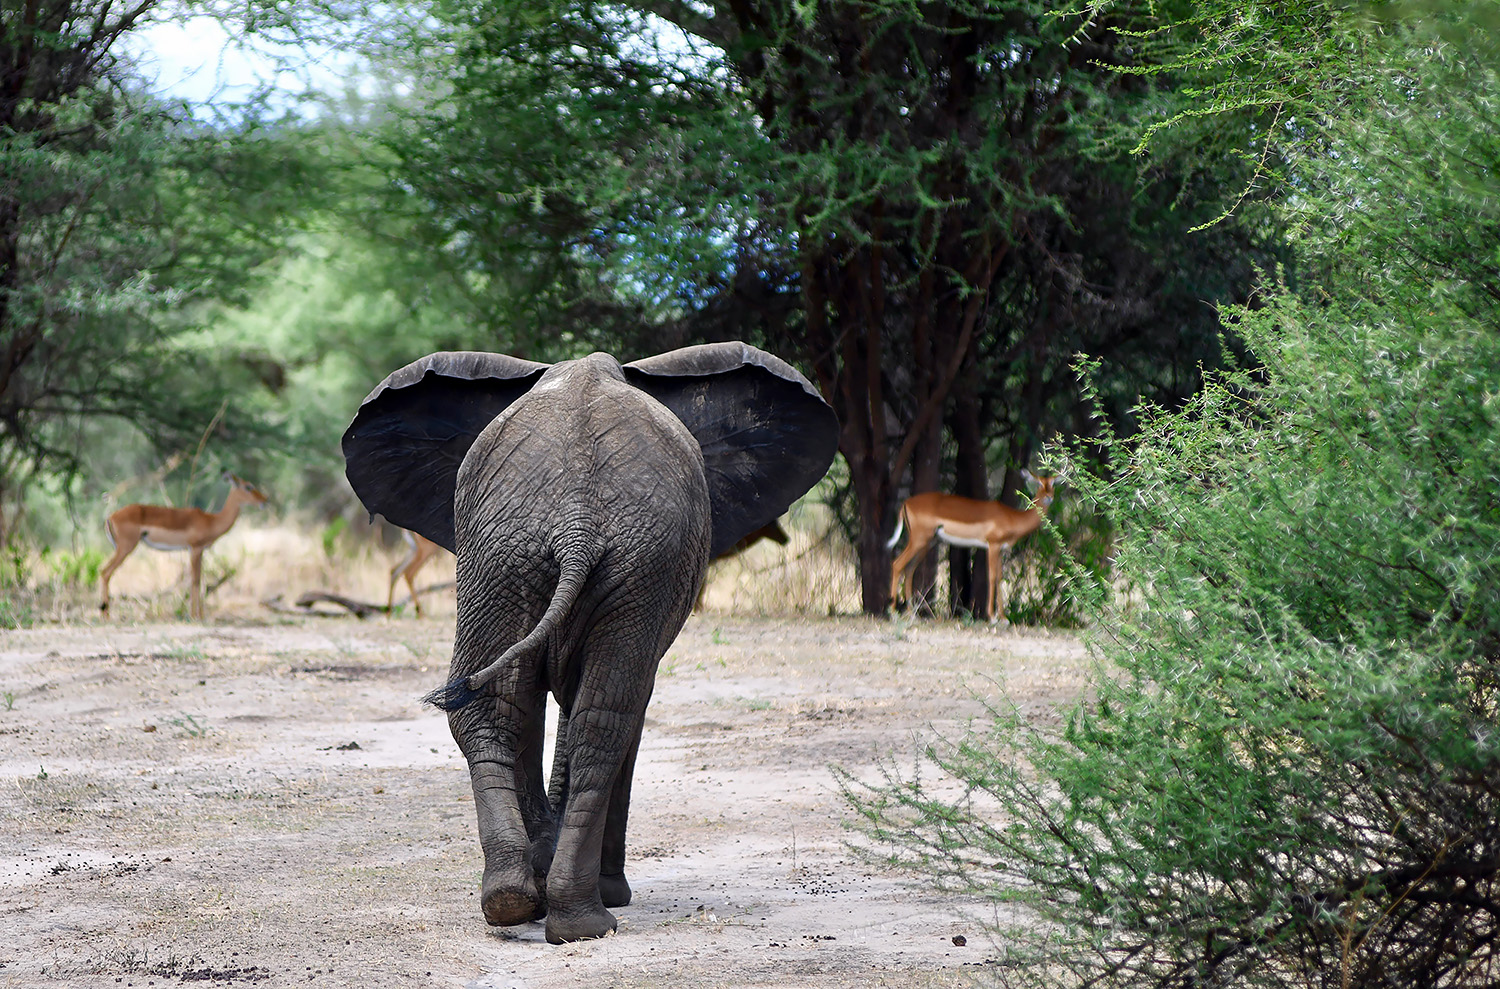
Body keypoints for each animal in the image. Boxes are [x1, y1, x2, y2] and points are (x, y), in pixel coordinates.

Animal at [101, 471, 271, 618]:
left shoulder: (199, 551)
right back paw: (105, 615)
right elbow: (195, 581)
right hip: (126, 548)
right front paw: (195, 616)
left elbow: (198, 581)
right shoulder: (195, 549)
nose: (265, 501)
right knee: (105, 572)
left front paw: (200, 615)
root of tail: (110, 517)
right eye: (248, 486)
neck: (211, 521)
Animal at [340, 340, 840, 942]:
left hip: (522, 555)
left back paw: (519, 902)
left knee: (514, 708)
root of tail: (576, 523)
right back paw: (585, 915)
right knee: (604, 718)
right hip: (578, 559)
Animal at [888, 471, 1056, 618]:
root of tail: (906, 502)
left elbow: (999, 578)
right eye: (1039, 483)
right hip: (918, 540)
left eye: (1053, 483)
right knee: (897, 564)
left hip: (927, 543)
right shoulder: (993, 545)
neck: (1011, 517)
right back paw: (893, 612)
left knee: (909, 569)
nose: (1049, 497)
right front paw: (992, 617)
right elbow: (991, 577)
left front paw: (1003, 618)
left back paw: (911, 613)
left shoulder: (1000, 550)